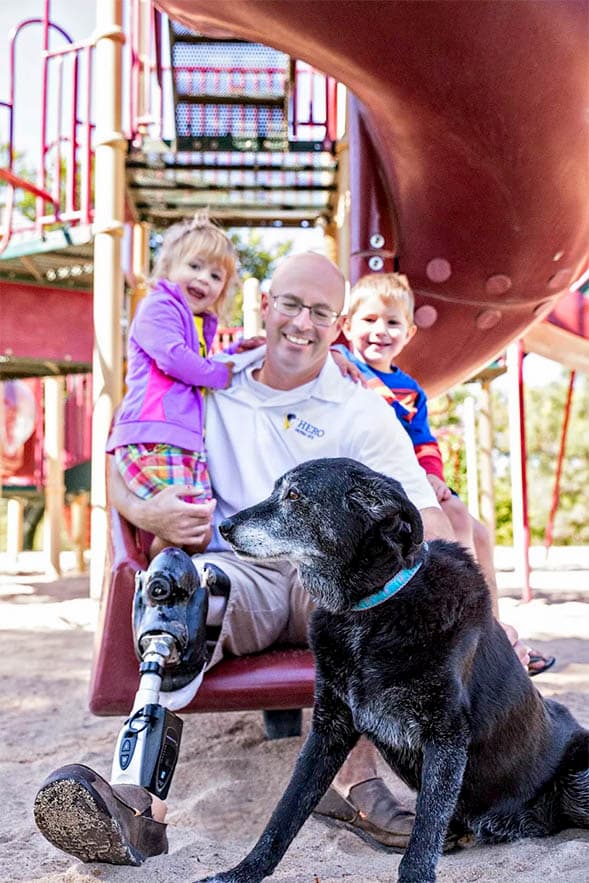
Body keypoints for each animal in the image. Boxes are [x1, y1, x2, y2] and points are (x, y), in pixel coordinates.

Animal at [199, 460, 588, 880]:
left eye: (294, 495)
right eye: (276, 491)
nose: (223, 526)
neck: (370, 610)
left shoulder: (446, 735)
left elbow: (425, 833)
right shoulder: (329, 728)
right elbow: (284, 813)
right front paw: (243, 871)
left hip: (579, 780)